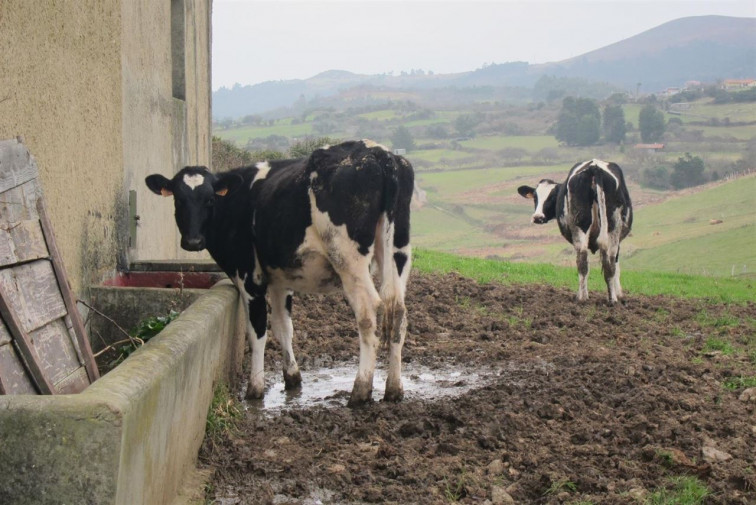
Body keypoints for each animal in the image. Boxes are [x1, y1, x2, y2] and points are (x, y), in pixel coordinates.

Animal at [146, 139, 414, 406]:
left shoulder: (249, 276)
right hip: (397, 252)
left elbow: (257, 331)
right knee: (399, 313)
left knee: (369, 311)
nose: (193, 241)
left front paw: (255, 389)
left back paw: (360, 390)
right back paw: (394, 389)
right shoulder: (280, 280)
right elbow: (284, 327)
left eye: (210, 200)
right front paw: (292, 378)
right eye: (179, 199)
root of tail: (378, 153)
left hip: (348, 259)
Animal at [520, 159, 632, 304]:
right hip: (606, 227)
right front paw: (619, 294)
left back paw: (597, 298)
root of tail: (594, 167)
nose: (538, 217)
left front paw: (618, 293)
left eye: (552, 197)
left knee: (588, 261)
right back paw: (596, 298)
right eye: (535, 197)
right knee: (599, 261)